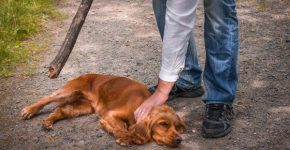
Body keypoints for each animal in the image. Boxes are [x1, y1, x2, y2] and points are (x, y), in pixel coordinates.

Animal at [20, 74, 185, 147]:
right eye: (163, 124)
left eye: (177, 127)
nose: (179, 140)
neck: (142, 102)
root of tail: (84, 74)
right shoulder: (110, 114)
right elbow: (121, 126)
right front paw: (124, 137)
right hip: (68, 91)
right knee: (46, 98)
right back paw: (29, 110)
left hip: (83, 107)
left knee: (61, 110)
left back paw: (47, 122)